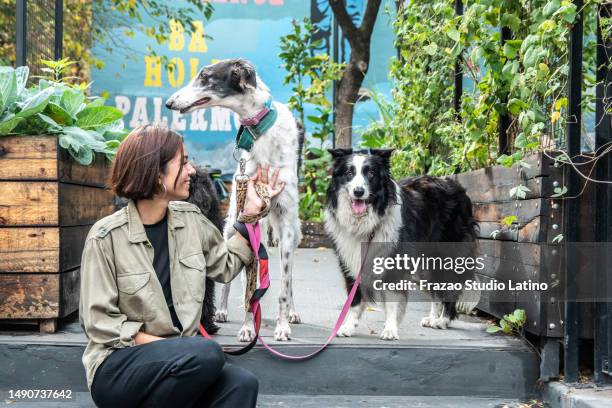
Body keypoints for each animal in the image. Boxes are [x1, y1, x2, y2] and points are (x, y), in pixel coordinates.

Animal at [166, 58, 302, 342]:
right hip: (230, 225)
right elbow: (247, 284)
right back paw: (222, 310)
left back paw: (293, 312)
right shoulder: (246, 214)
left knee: (289, 277)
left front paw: (283, 326)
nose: (169, 103)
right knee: (230, 275)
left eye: (204, 76)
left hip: (294, 232)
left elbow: (284, 285)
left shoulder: (285, 221)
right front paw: (248, 327)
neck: (261, 133)